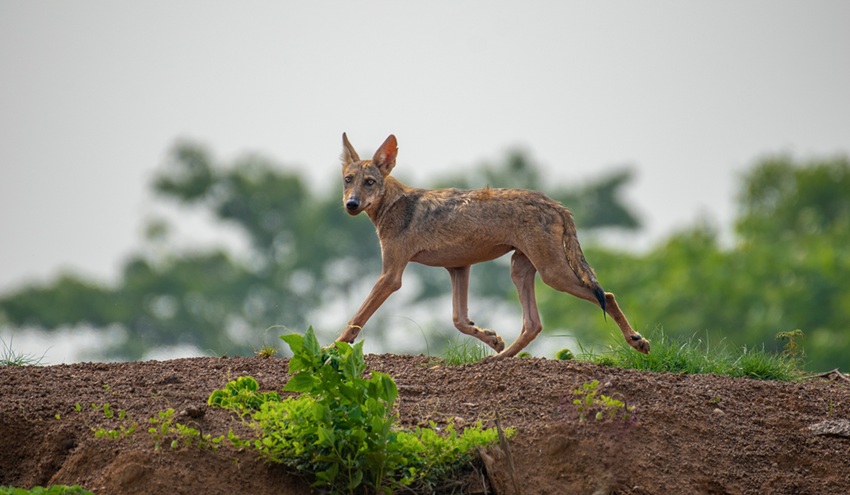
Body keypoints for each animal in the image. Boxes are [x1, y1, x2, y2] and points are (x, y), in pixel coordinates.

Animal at [336, 133, 649, 360]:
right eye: (348, 180)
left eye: (370, 182)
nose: (351, 204)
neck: (390, 206)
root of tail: (556, 204)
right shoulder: (458, 267)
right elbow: (459, 319)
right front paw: (492, 339)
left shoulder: (391, 277)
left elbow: (357, 317)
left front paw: (333, 348)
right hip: (520, 269)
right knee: (533, 324)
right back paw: (499, 358)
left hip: (552, 274)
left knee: (606, 295)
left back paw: (638, 341)